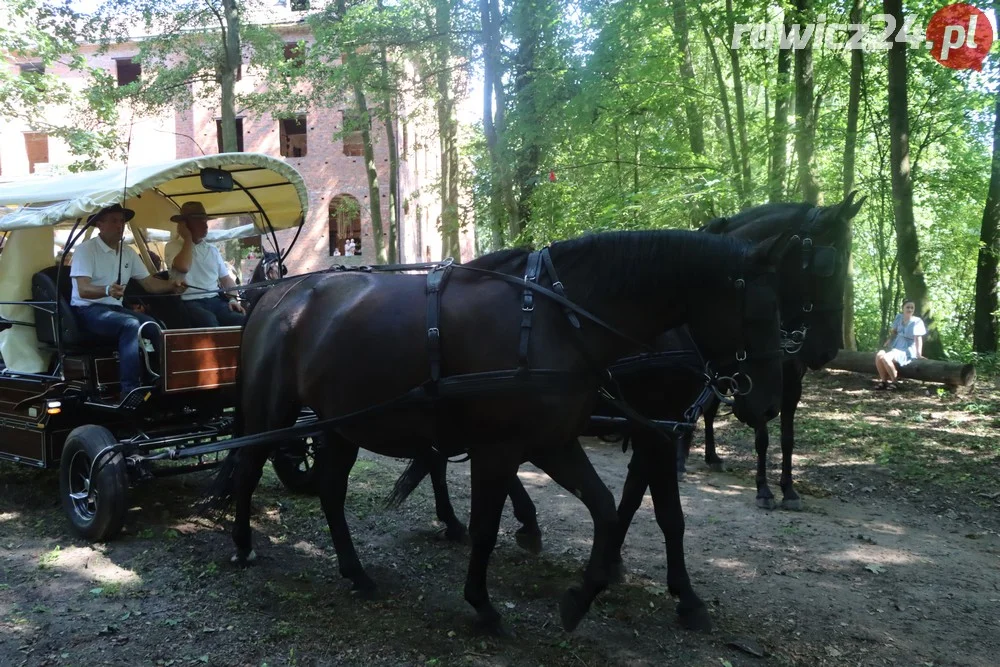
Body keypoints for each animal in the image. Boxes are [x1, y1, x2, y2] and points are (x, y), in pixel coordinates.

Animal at [209, 228, 796, 636]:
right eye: (758, 310)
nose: (769, 402)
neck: (559, 320)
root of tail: (276, 295)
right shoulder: (502, 448)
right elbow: (488, 527)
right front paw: (483, 603)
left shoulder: (556, 442)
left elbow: (607, 508)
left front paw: (583, 595)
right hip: (271, 412)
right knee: (249, 468)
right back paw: (241, 545)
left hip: (340, 426)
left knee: (330, 492)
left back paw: (356, 573)